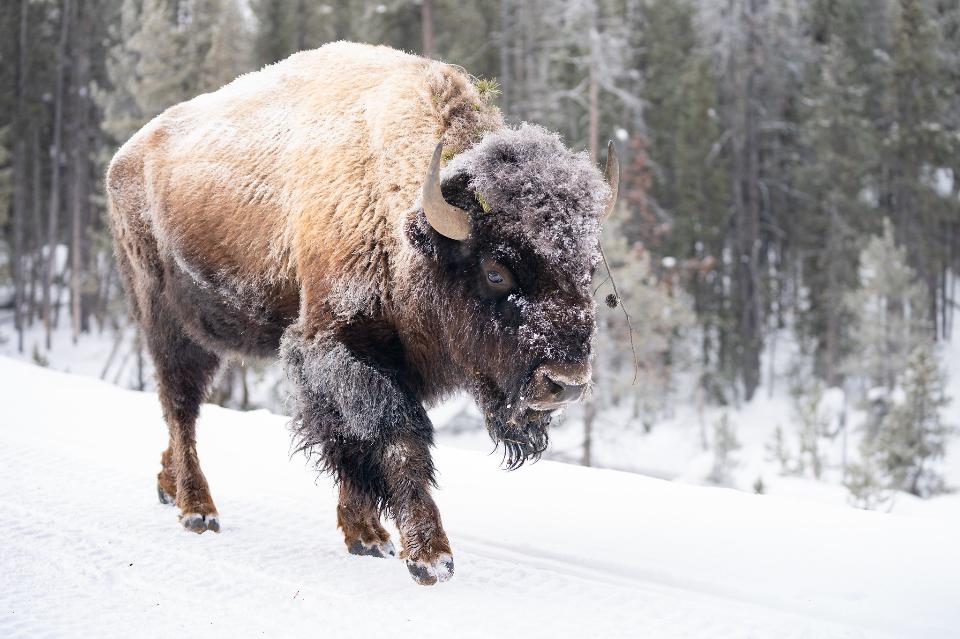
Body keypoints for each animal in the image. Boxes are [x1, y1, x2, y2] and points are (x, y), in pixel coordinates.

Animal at [105, 42, 616, 588]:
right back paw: (197, 510)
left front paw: (367, 537)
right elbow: (395, 438)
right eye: (496, 272)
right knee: (180, 406)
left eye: (588, 266)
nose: (566, 382)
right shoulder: (338, 350)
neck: (399, 214)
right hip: (167, 323)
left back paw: (168, 486)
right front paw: (430, 557)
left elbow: (355, 442)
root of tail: (124, 157)